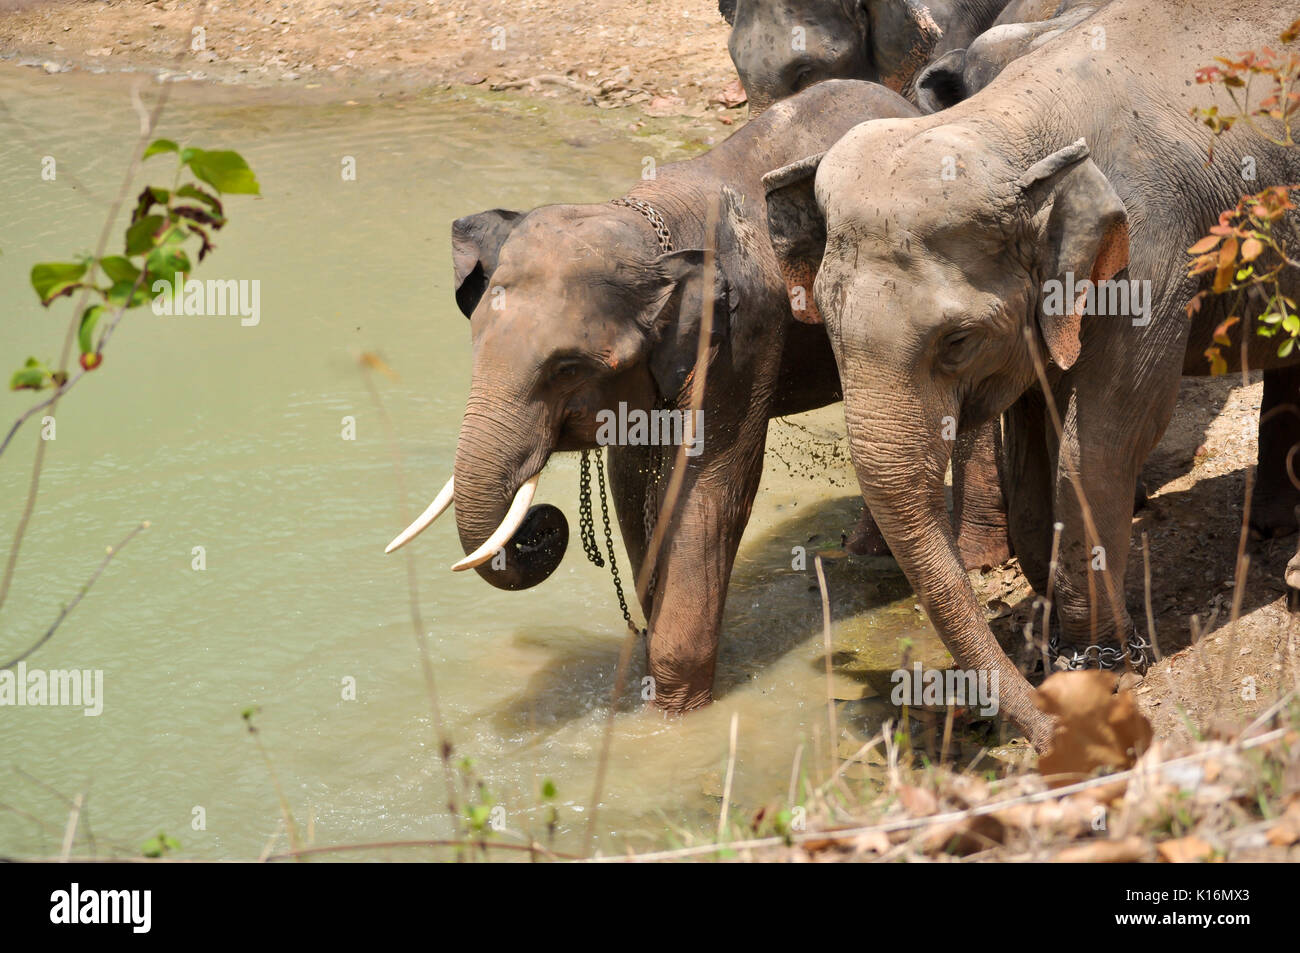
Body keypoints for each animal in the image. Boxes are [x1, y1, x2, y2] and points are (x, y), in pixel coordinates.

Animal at [386, 80, 1009, 712]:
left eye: (567, 368)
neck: (646, 222)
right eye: (475, 342)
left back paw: (971, 556)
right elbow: (633, 483)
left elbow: (710, 488)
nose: (542, 524)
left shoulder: (744, 333)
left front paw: (674, 712)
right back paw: (863, 553)